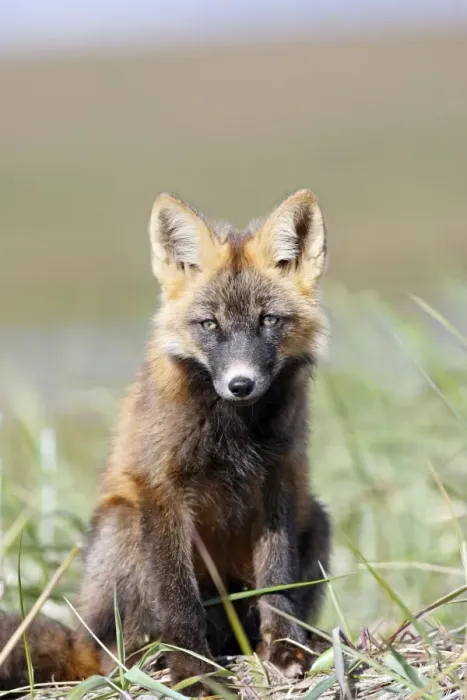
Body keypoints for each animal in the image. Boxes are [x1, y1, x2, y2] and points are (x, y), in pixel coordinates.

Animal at [0, 189, 331, 696]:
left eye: (269, 321)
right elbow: (178, 597)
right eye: (209, 325)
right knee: (118, 653)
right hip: (124, 526)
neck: (233, 435)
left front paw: (286, 651)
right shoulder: (161, 490)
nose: (240, 384)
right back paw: (145, 662)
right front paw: (194, 671)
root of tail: (81, 640)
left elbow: (277, 580)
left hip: (315, 517)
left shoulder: (279, 477)